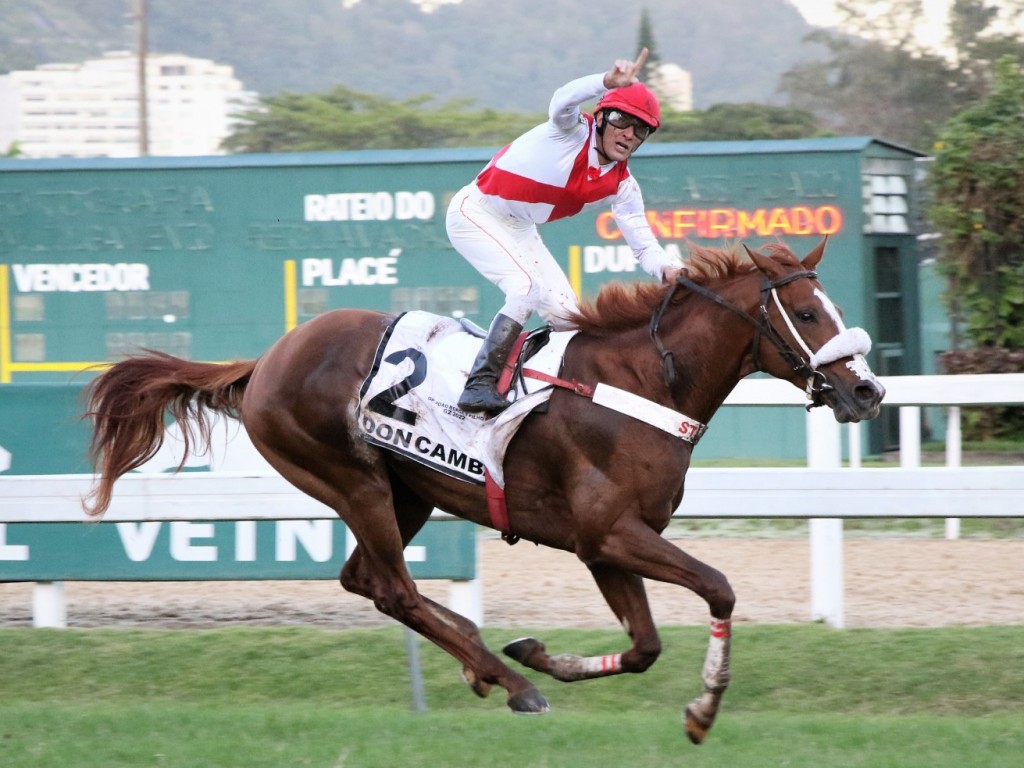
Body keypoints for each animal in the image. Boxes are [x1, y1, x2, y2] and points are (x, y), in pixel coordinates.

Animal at [81, 241, 880, 745]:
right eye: (810, 315)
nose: (868, 391)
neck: (642, 384)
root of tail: (268, 358)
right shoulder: (609, 534)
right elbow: (718, 588)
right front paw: (703, 710)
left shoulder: (606, 547)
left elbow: (646, 645)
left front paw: (541, 653)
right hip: (351, 479)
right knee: (393, 588)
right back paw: (508, 681)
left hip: (405, 494)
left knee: (365, 579)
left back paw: (484, 659)